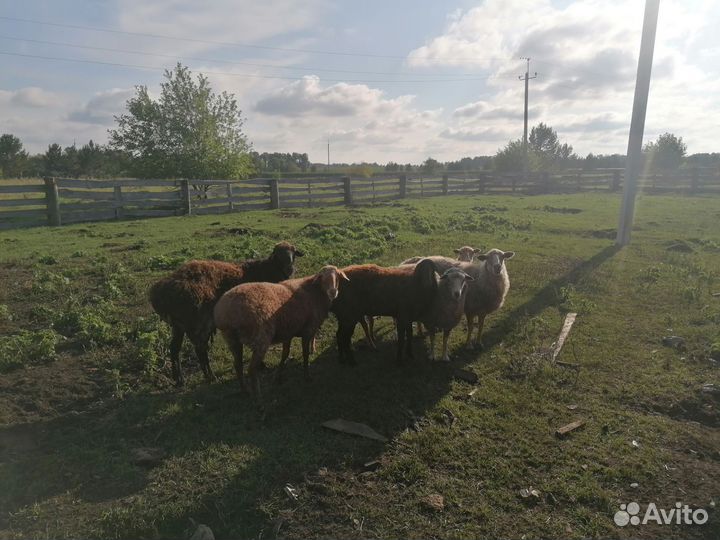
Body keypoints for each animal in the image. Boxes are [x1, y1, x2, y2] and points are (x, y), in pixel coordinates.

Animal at [149, 242, 304, 386]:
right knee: (200, 349)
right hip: (198, 323)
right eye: (277, 255)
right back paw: (210, 376)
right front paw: (261, 365)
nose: (289, 267)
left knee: (175, 348)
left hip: (179, 325)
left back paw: (179, 379)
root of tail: (159, 293)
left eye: (293, 252)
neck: (268, 270)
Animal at [213, 265, 349, 401]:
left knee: (238, 365)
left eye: (337, 277)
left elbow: (285, 354)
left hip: (232, 340)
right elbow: (305, 355)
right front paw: (307, 375)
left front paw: (278, 375)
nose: (333, 292)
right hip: (261, 338)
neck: (316, 292)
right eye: (322, 278)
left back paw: (245, 390)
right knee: (252, 370)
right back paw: (258, 397)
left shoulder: (288, 331)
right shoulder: (307, 330)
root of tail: (227, 313)